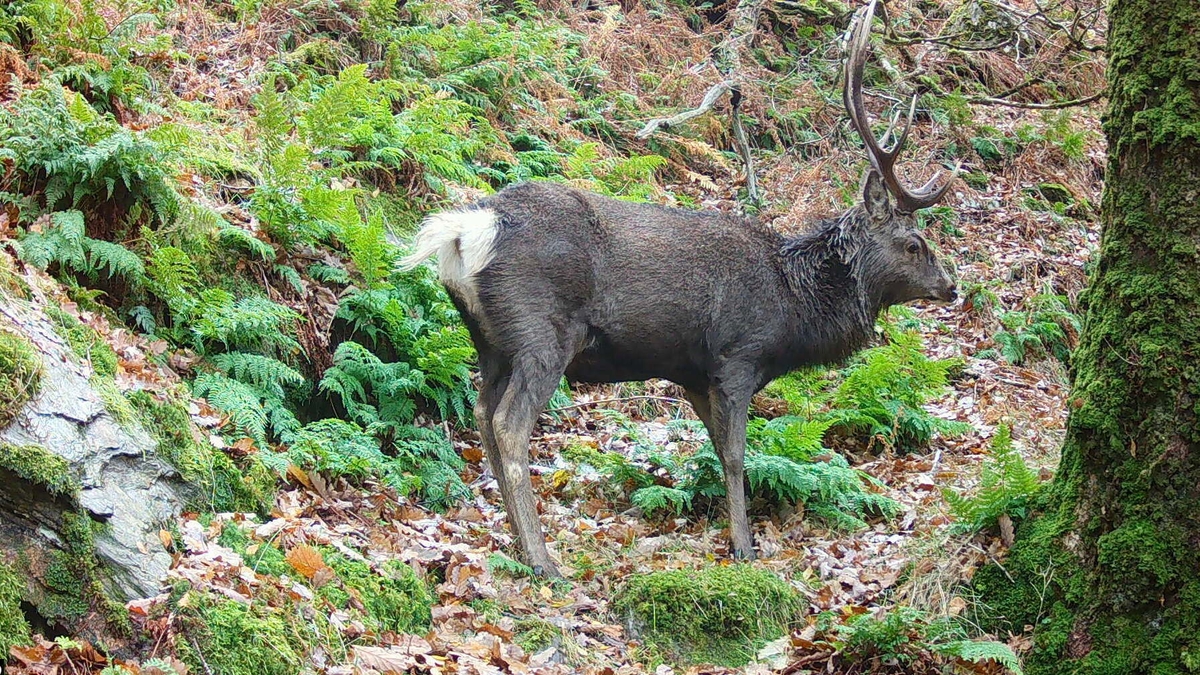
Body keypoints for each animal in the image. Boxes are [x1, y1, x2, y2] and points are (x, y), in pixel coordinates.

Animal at [398, 0, 959, 577]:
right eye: (913, 244)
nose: (951, 286)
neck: (793, 306)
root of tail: (469, 229)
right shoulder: (738, 357)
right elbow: (735, 455)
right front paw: (744, 547)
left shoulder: (691, 372)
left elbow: (715, 448)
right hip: (541, 332)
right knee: (509, 425)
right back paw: (542, 560)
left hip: (491, 342)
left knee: (481, 416)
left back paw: (515, 544)